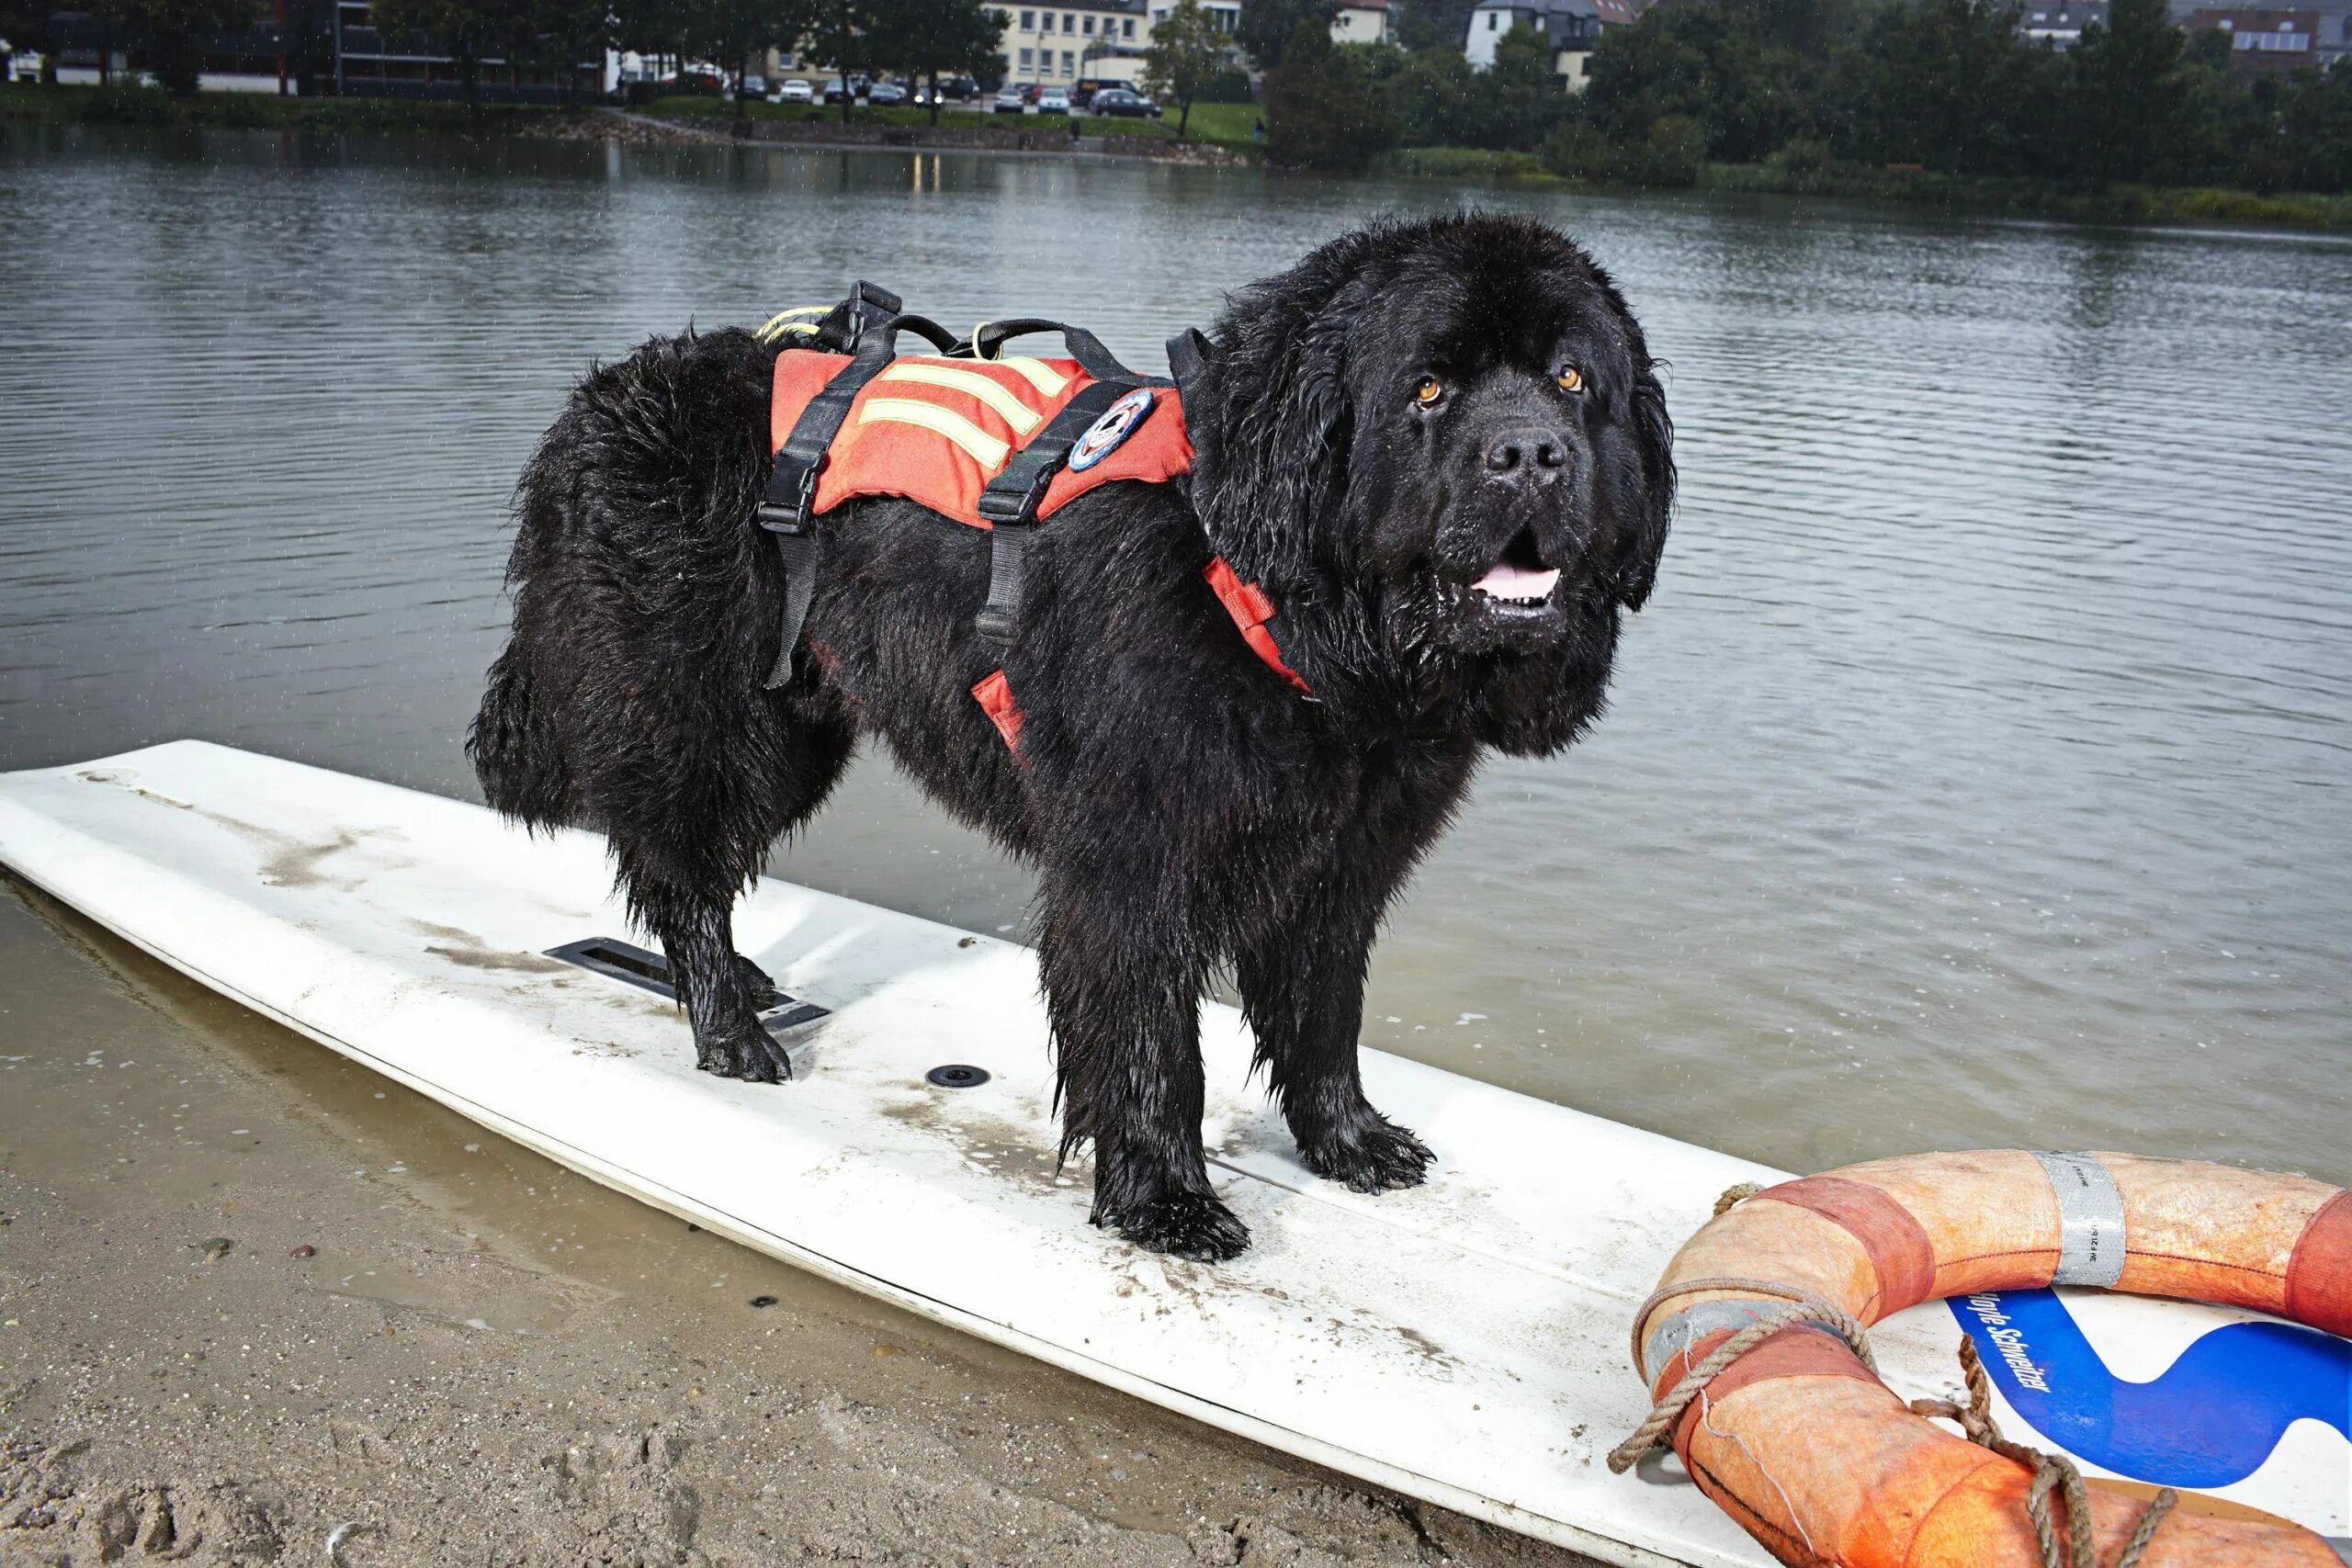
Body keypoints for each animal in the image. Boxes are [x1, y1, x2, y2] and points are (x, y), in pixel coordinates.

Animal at [463, 215, 1674, 1259]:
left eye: (1574, 381)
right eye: (1427, 388)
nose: (1530, 454)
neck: (1283, 619)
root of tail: (595, 404)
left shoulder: (1345, 858)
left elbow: (1324, 1012)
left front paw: (1347, 1142)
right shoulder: (1131, 859)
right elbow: (1150, 1042)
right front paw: (1167, 1204)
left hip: (796, 728)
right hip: (706, 711)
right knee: (678, 861)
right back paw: (728, 1027)